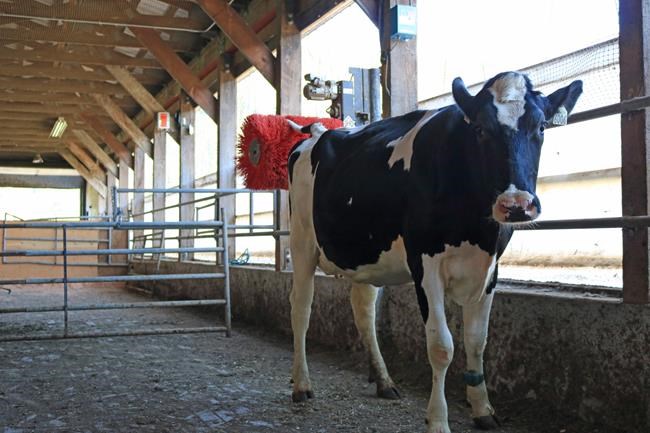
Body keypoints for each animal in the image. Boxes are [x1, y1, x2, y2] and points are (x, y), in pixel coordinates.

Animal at [287, 71, 582, 433]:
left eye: (540, 127)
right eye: (480, 129)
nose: (516, 205)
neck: (476, 230)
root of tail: (317, 132)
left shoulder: (490, 270)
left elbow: (477, 341)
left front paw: (482, 409)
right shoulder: (425, 266)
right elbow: (442, 346)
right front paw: (439, 420)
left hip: (366, 256)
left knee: (364, 311)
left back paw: (383, 380)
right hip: (302, 241)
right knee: (301, 308)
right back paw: (302, 385)